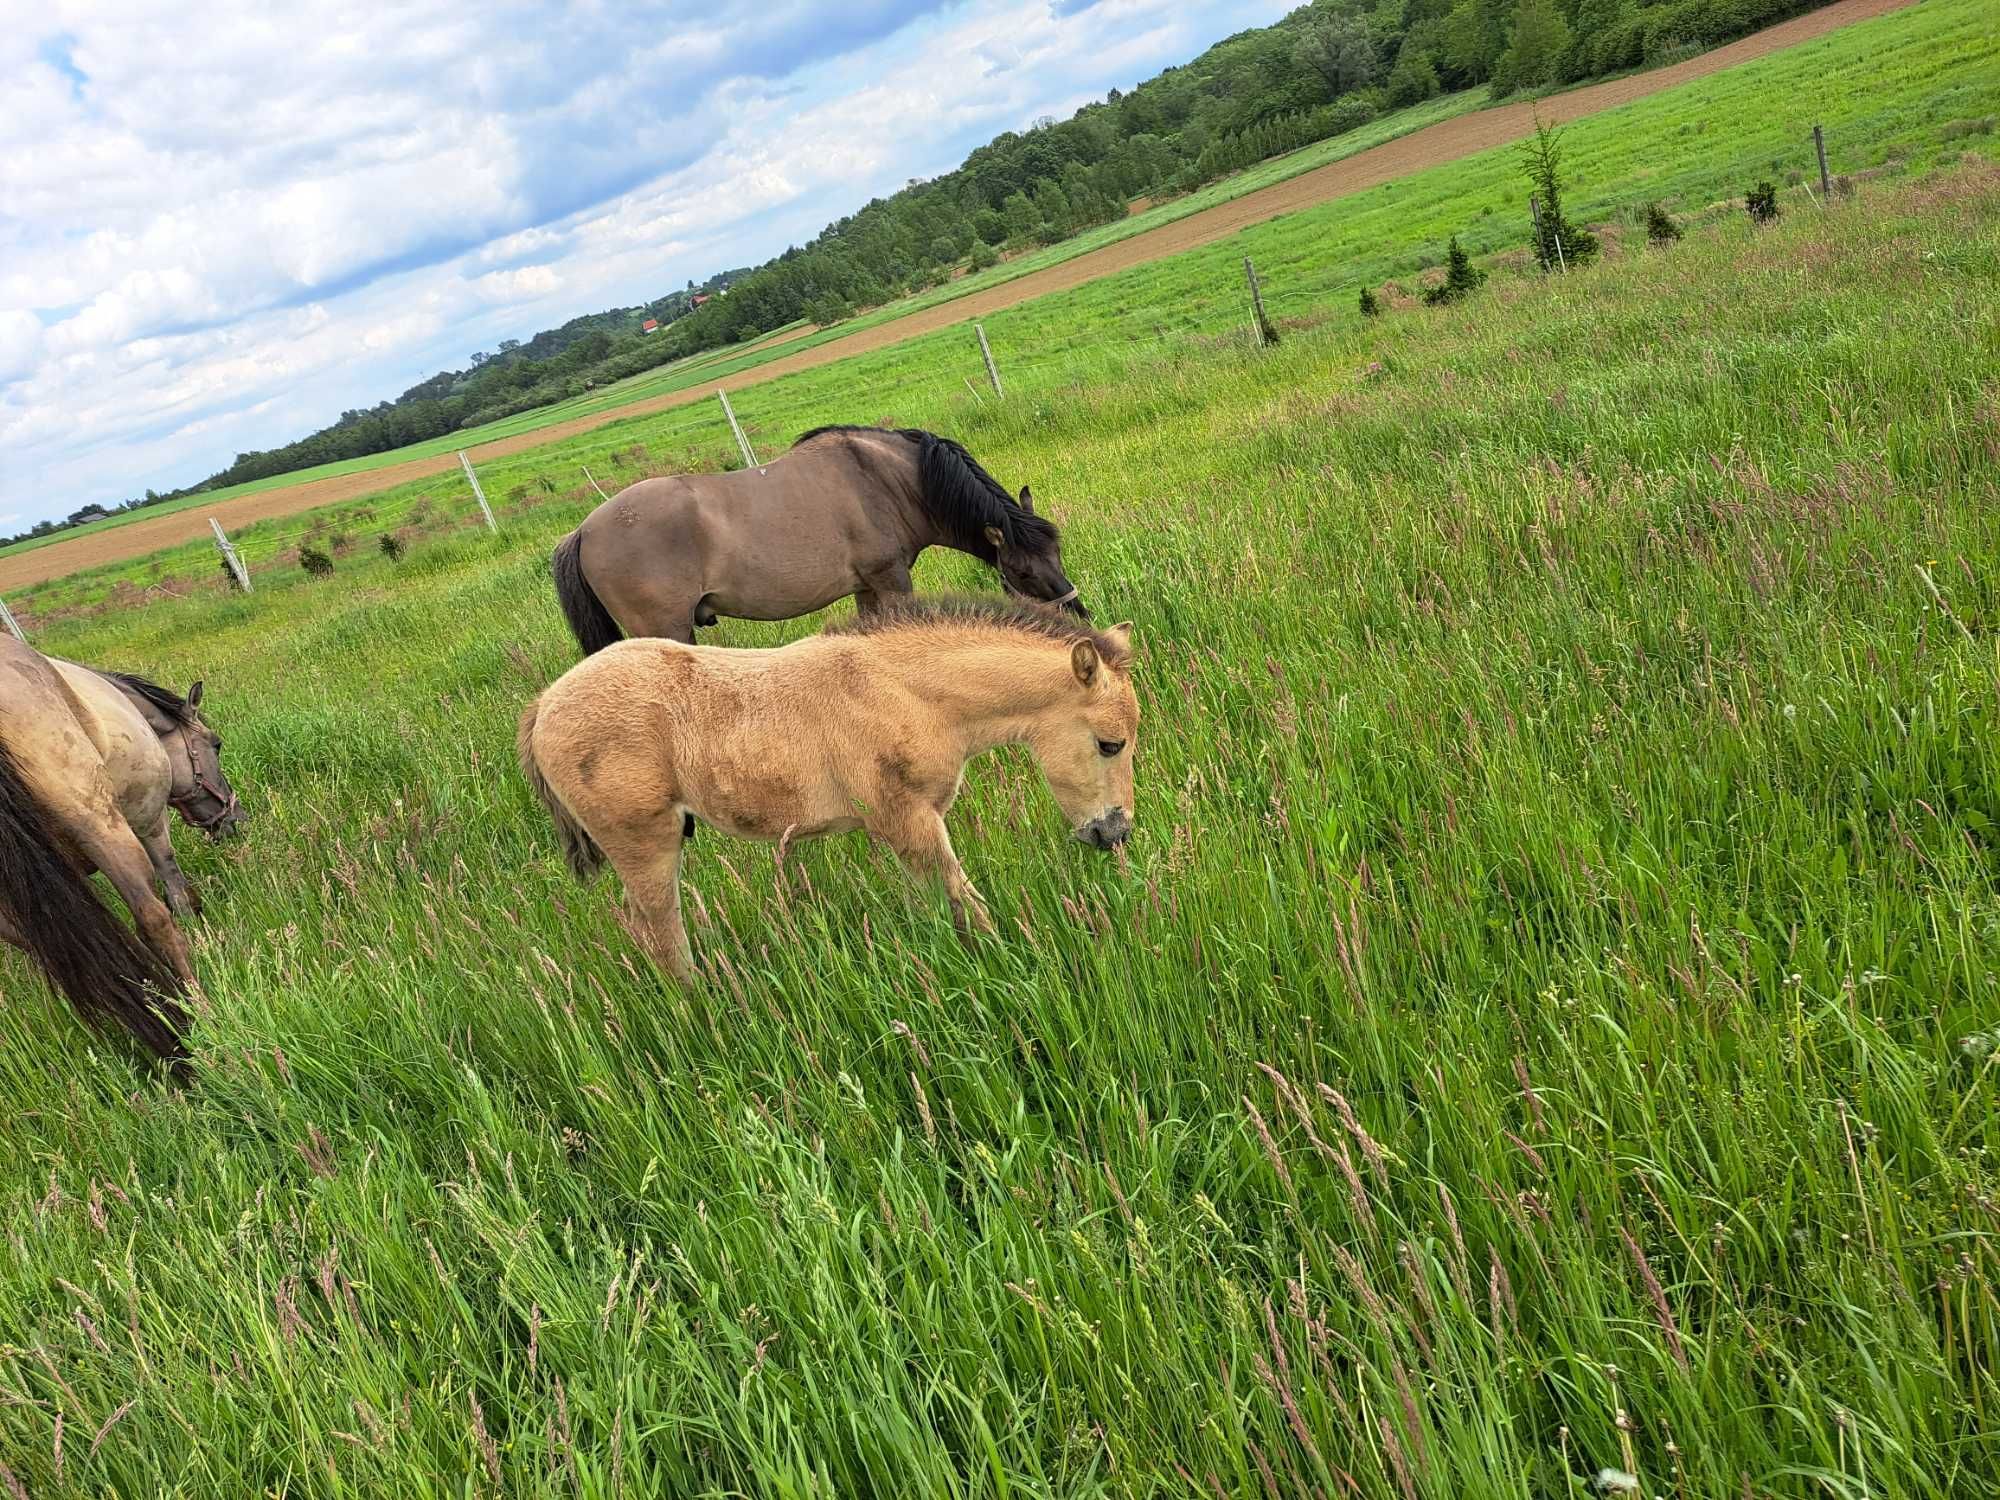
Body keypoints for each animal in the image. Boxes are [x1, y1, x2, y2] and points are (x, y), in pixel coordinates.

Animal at [0, 640, 246, 1064]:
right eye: (216, 744)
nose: (235, 817)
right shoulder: (149, 820)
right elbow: (173, 889)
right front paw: (195, 917)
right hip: (101, 824)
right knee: (152, 920)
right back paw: (198, 1011)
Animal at [520, 600, 1144, 988]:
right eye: (1110, 744)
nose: (1114, 832)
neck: (905, 692)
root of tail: (544, 706)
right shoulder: (909, 820)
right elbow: (966, 903)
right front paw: (1012, 965)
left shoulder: (908, 825)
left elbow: (930, 903)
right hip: (646, 842)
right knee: (660, 927)